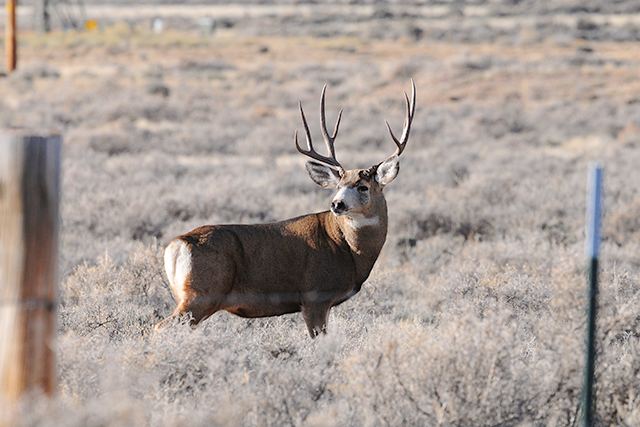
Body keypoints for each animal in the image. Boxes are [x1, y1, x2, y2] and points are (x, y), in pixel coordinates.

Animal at [154, 80, 416, 338]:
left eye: (363, 187)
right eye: (339, 186)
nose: (336, 204)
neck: (347, 247)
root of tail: (177, 244)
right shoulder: (315, 297)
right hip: (201, 295)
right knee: (161, 327)